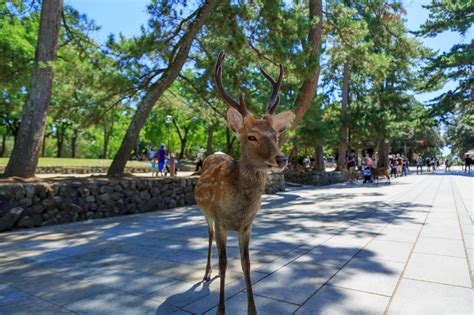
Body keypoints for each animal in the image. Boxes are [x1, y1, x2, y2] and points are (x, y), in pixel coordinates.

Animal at [193, 50, 292, 314]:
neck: (238, 210)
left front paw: (252, 309)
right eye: (252, 137)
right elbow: (225, 262)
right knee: (208, 236)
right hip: (207, 214)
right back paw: (207, 273)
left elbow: (247, 264)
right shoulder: (221, 220)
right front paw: (220, 309)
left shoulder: (247, 226)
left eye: (276, 135)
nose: (282, 158)